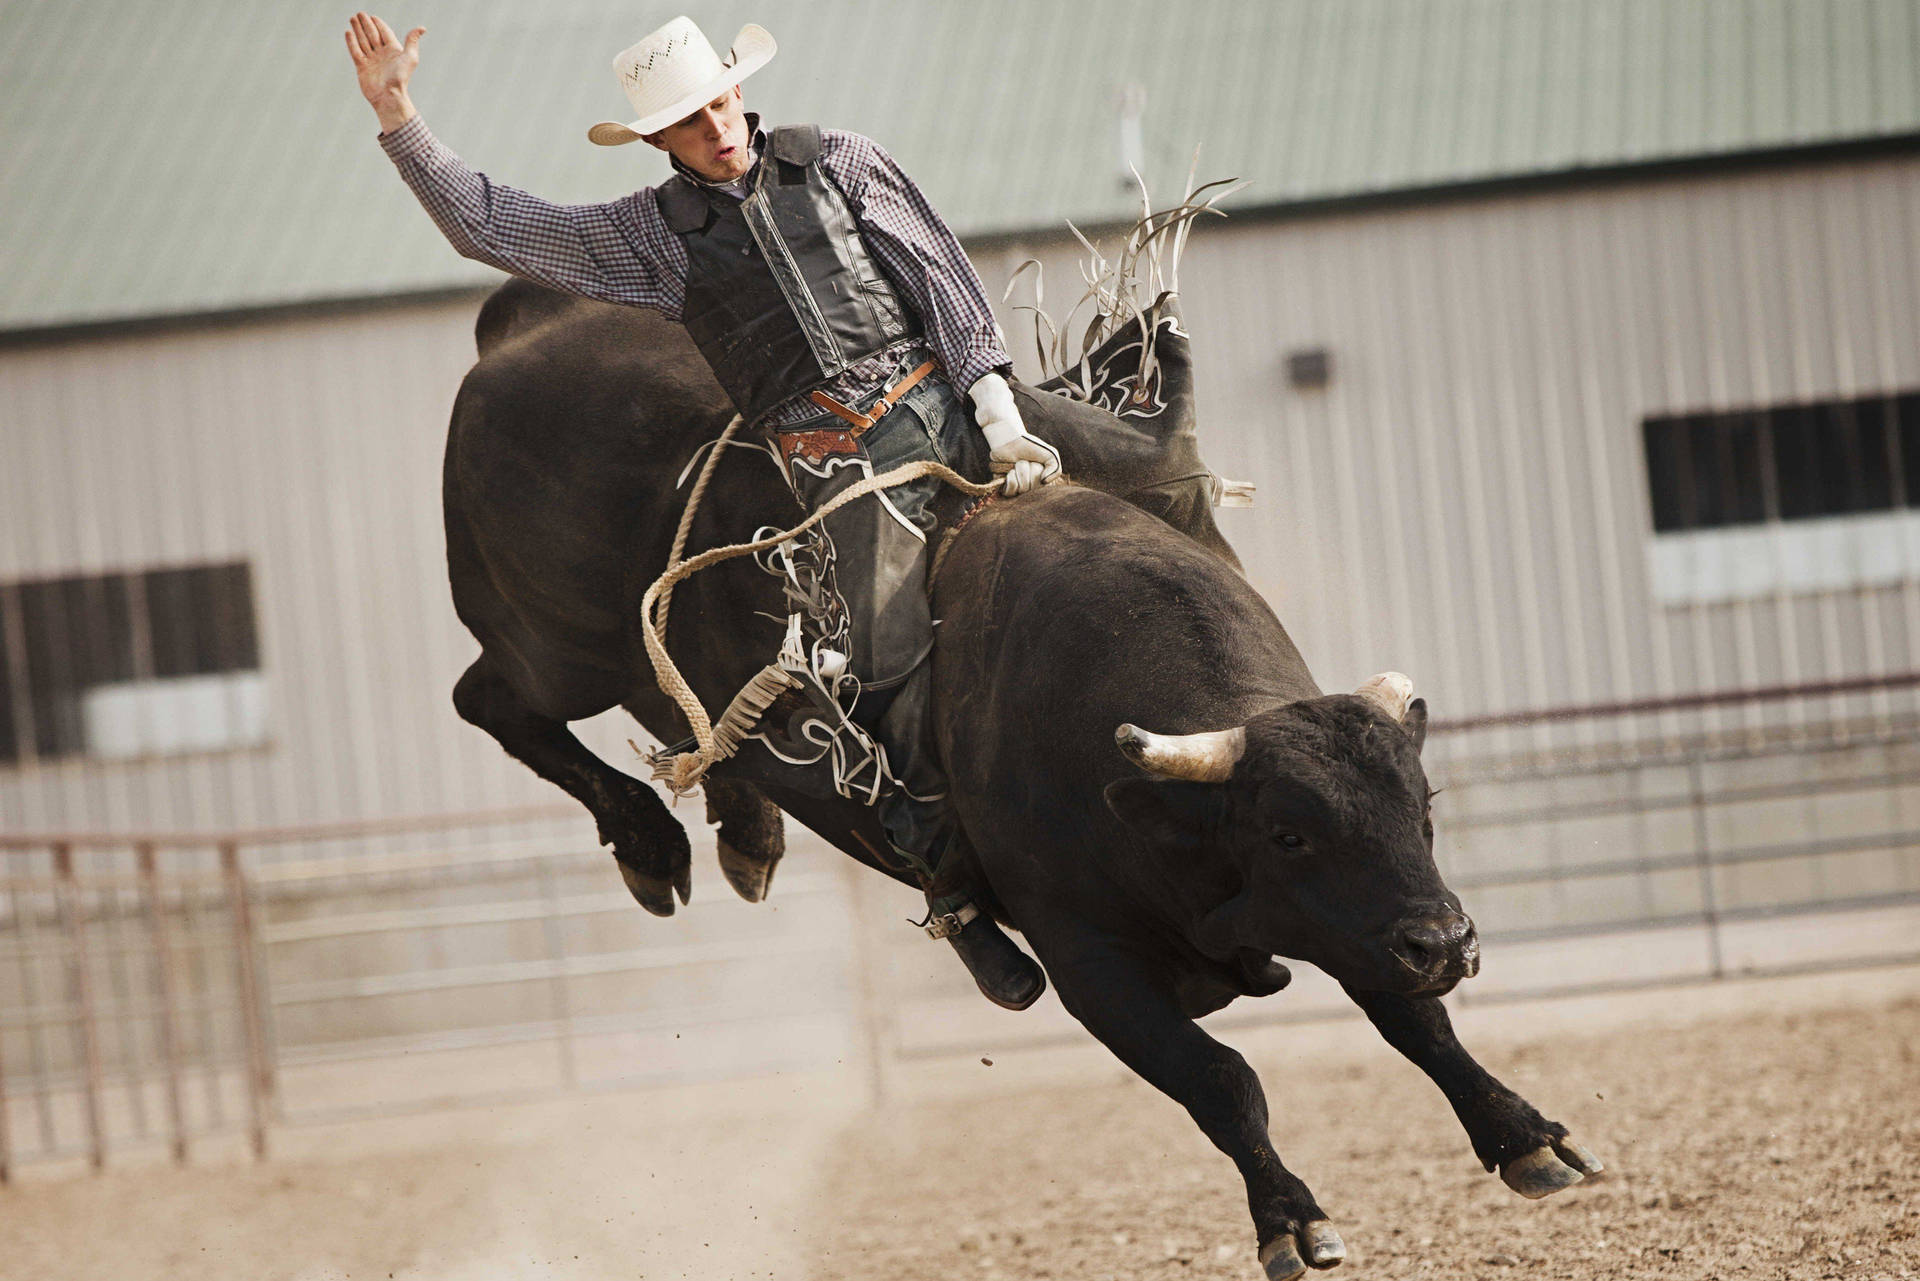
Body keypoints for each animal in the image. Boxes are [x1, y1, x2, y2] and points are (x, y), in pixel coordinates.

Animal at [441, 278, 1597, 1275]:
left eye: (1421, 808)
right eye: (1287, 831)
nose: (1447, 942)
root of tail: (529, 322)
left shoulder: (1360, 917)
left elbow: (1418, 1025)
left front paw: (1525, 1134)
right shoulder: (1091, 961)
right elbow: (1222, 1081)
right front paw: (1291, 1217)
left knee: (698, 727)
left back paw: (746, 834)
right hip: (553, 645)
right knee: (490, 702)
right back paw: (650, 840)